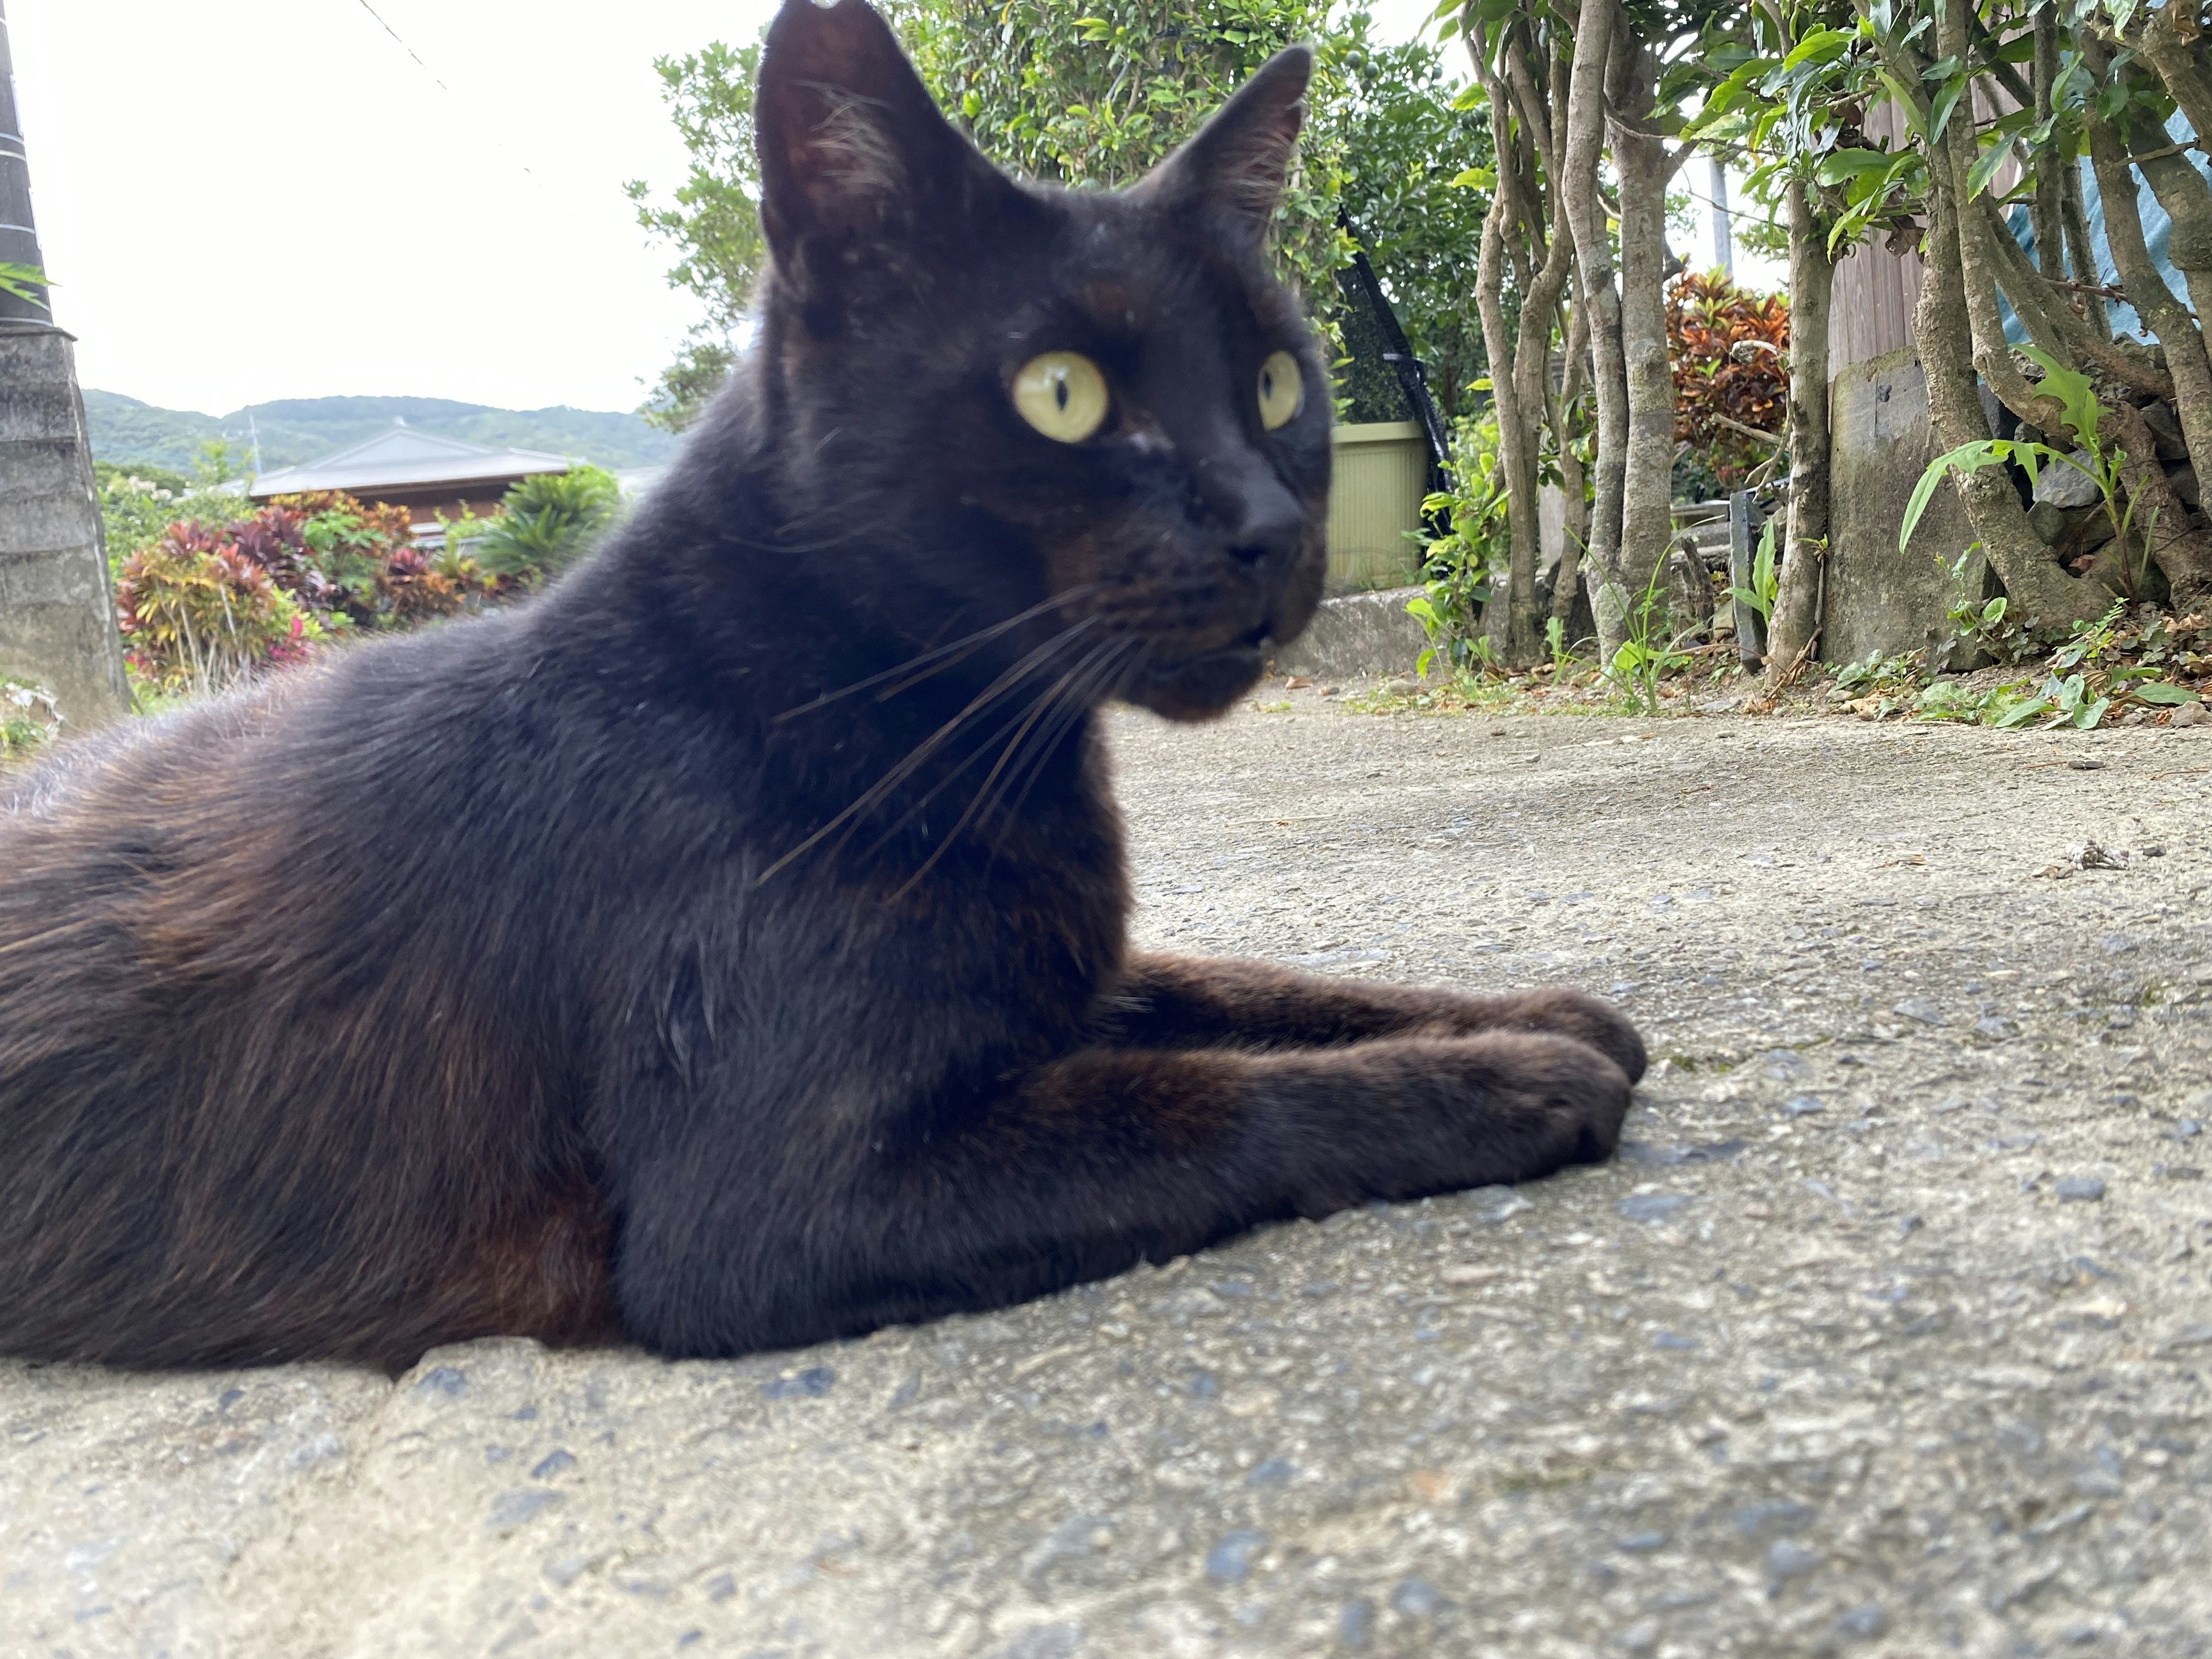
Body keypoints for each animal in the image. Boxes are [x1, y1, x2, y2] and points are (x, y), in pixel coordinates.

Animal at [0, 0, 1628, 1380]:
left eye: (1280, 387)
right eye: (1061, 393)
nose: (1272, 529)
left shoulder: (1059, 979)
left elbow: (1258, 991)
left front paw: (1523, 1011)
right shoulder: (777, 1210)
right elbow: (1209, 1098)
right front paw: (1515, 1076)